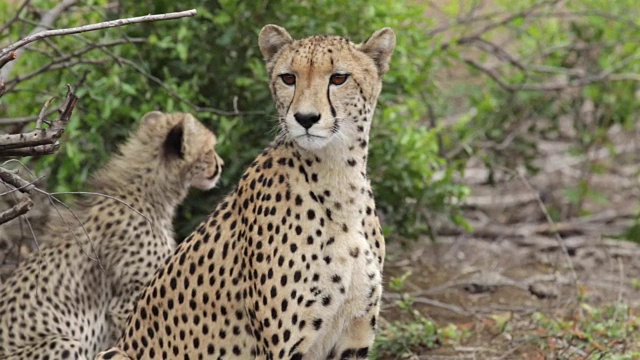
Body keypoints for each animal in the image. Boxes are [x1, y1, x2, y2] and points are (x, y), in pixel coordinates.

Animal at [96, 25, 396, 360]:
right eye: (288, 78)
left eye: (339, 78)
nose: (305, 118)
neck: (340, 178)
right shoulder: (284, 349)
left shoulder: (353, 341)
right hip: (116, 351)